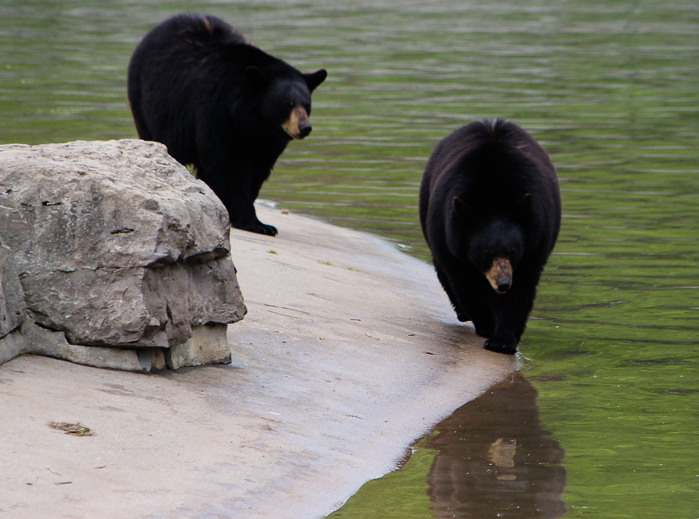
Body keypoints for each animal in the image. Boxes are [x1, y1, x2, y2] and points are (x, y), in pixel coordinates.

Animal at [128, 12, 328, 236]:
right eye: (288, 104)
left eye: (307, 104)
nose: (305, 128)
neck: (253, 120)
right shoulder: (218, 111)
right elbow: (226, 164)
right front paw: (254, 222)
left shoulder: (268, 139)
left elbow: (257, 169)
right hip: (146, 104)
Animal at [422, 120, 564, 356]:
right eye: (486, 253)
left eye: (512, 251)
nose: (503, 284)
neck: (494, 199)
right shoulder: (450, 236)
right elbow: (465, 282)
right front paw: (487, 324)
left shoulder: (535, 240)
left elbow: (522, 288)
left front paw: (502, 341)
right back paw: (464, 312)